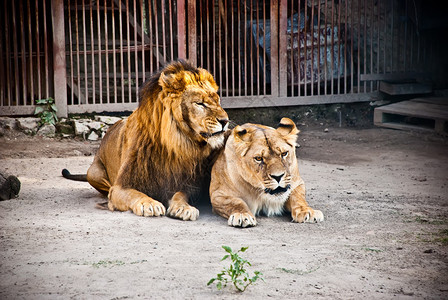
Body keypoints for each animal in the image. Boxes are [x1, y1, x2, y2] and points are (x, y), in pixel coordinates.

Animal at [63, 61, 229, 220]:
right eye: (200, 103)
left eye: (218, 101)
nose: (225, 121)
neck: (170, 145)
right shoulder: (121, 186)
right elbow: (135, 194)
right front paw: (149, 204)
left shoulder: (184, 184)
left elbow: (180, 195)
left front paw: (183, 208)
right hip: (94, 172)